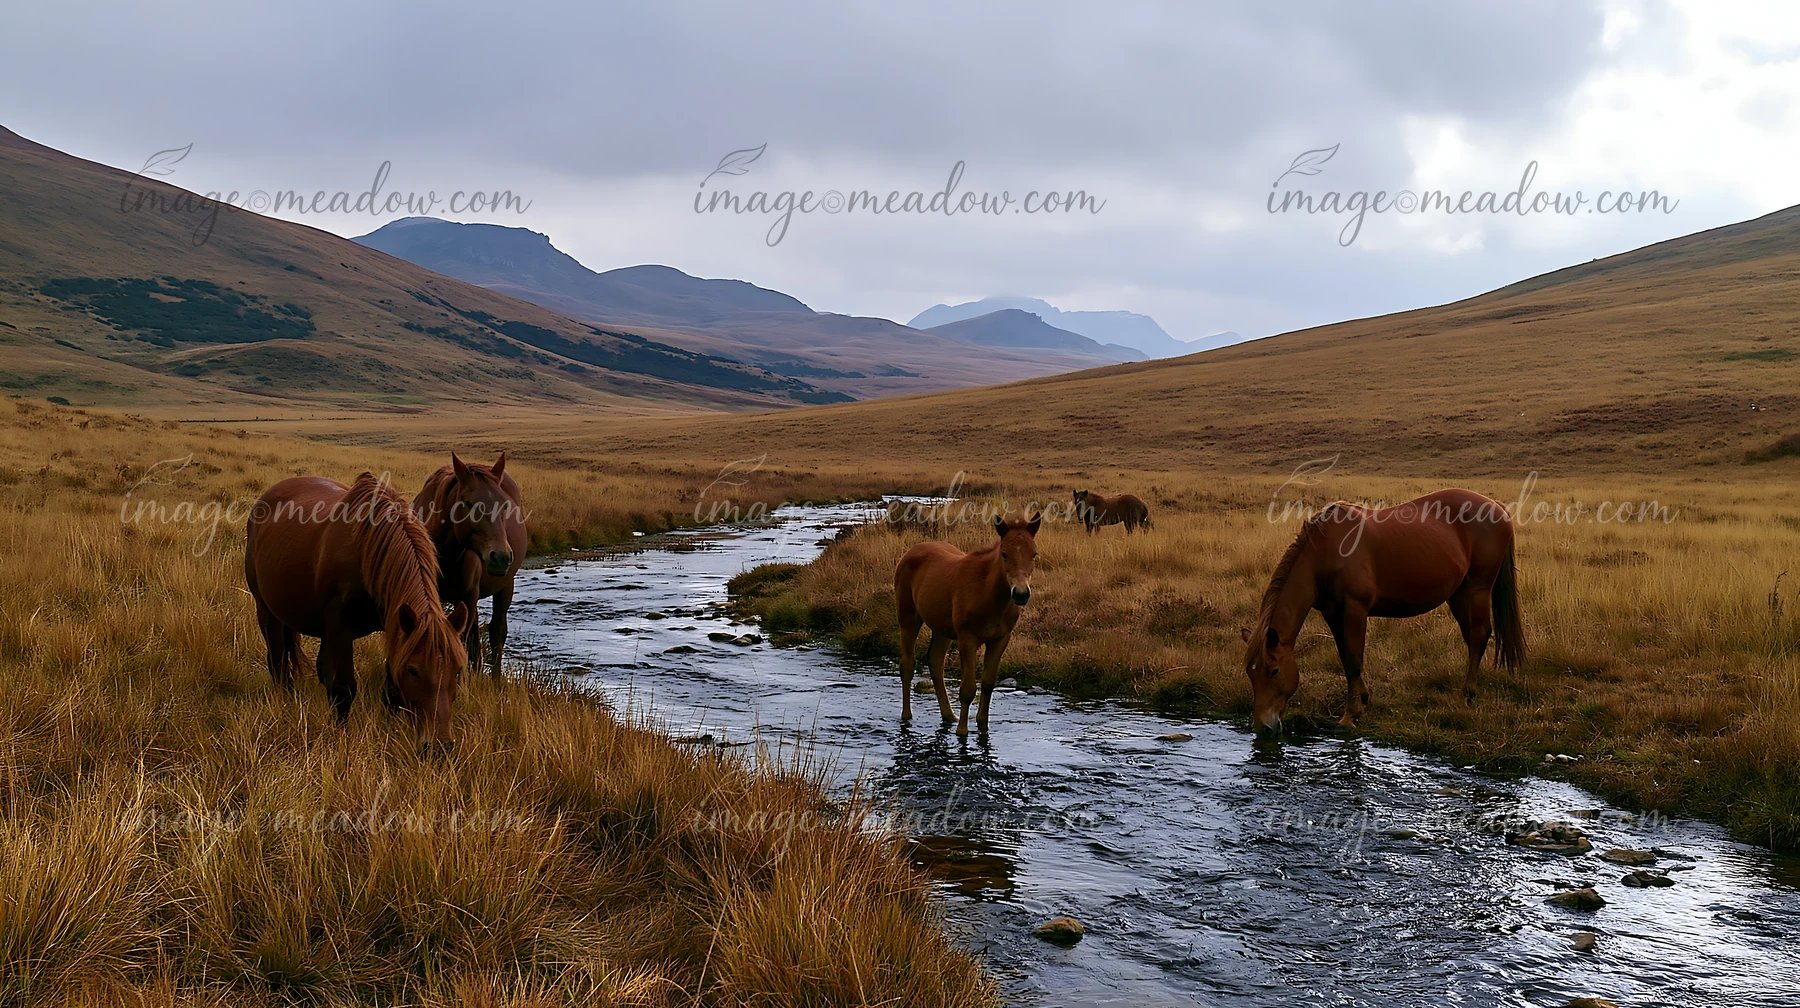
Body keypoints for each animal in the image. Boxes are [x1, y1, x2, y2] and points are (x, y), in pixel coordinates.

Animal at [245, 472, 470, 750]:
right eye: (412, 670)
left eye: (458, 670)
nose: (440, 745)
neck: (369, 552)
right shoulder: (340, 626)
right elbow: (344, 687)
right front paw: (342, 735)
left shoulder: (395, 625)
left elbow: (390, 689)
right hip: (267, 611)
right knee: (278, 663)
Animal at [412, 453, 526, 678]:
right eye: (468, 503)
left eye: (505, 506)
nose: (501, 556)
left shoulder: (468, 597)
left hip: (504, 587)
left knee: (496, 633)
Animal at [895, 514, 1040, 737]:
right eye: (1004, 554)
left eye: (1034, 554)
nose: (1021, 593)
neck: (989, 597)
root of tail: (909, 552)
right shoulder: (967, 638)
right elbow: (968, 689)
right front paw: (962, 731)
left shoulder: (1000, 638)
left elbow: (988, 683)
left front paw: (982, 724)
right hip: (908, 618)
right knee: (908, 665)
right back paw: (907, 716)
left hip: (942, 628)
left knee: (935, 661)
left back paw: (949, 715)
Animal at [1241, 488, 1524, 734]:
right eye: (1250, 674)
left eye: (1274, 671)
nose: (1263, 727)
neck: (1326, 552)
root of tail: (1497, 507)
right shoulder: (1332, 612)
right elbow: (1345, 657)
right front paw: (1363, 698)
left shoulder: (1354, 609)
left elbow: (1354, 659)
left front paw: (1350, 716)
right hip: (1459, 594)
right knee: (1472, 637)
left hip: (1477, 589)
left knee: (1478, 636)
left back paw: (1467, 695)